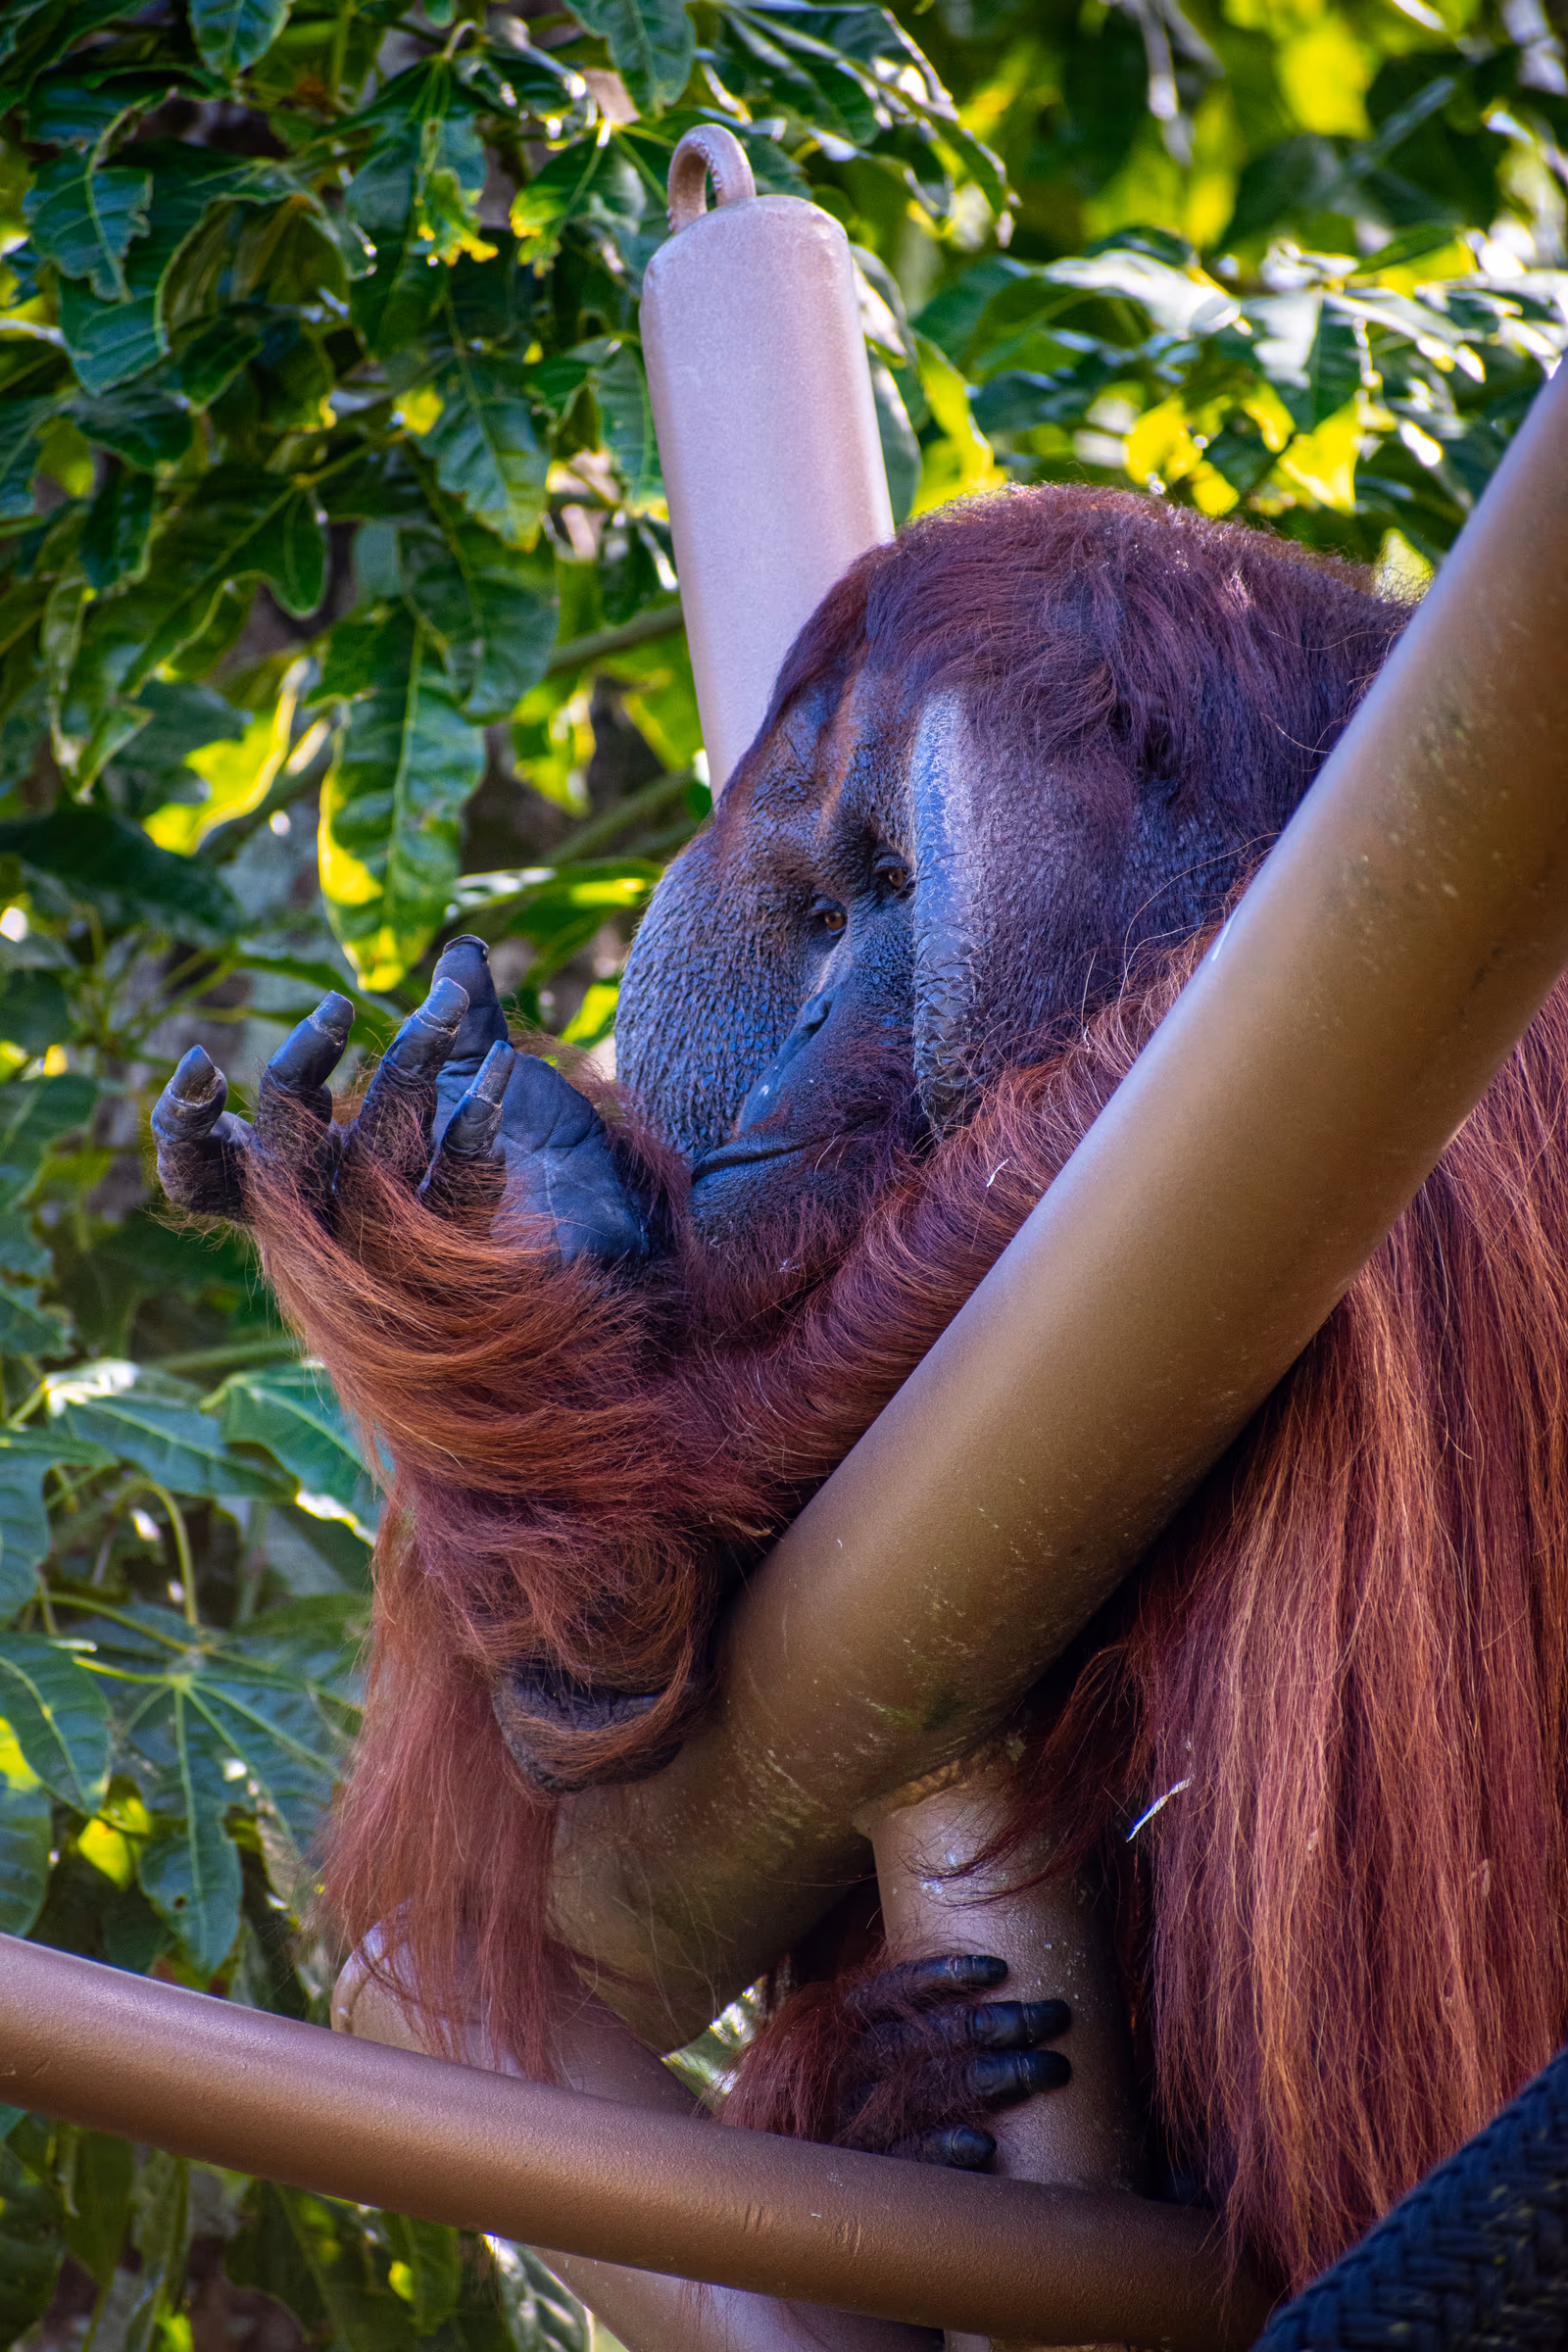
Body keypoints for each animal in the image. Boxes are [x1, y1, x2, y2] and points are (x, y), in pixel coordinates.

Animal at [153, 484, 1568, 2293]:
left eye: (896, 887)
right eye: (818, 916)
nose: (816, 1006)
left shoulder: (1312, 1012)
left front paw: (494, 1257)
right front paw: (543, 1213)